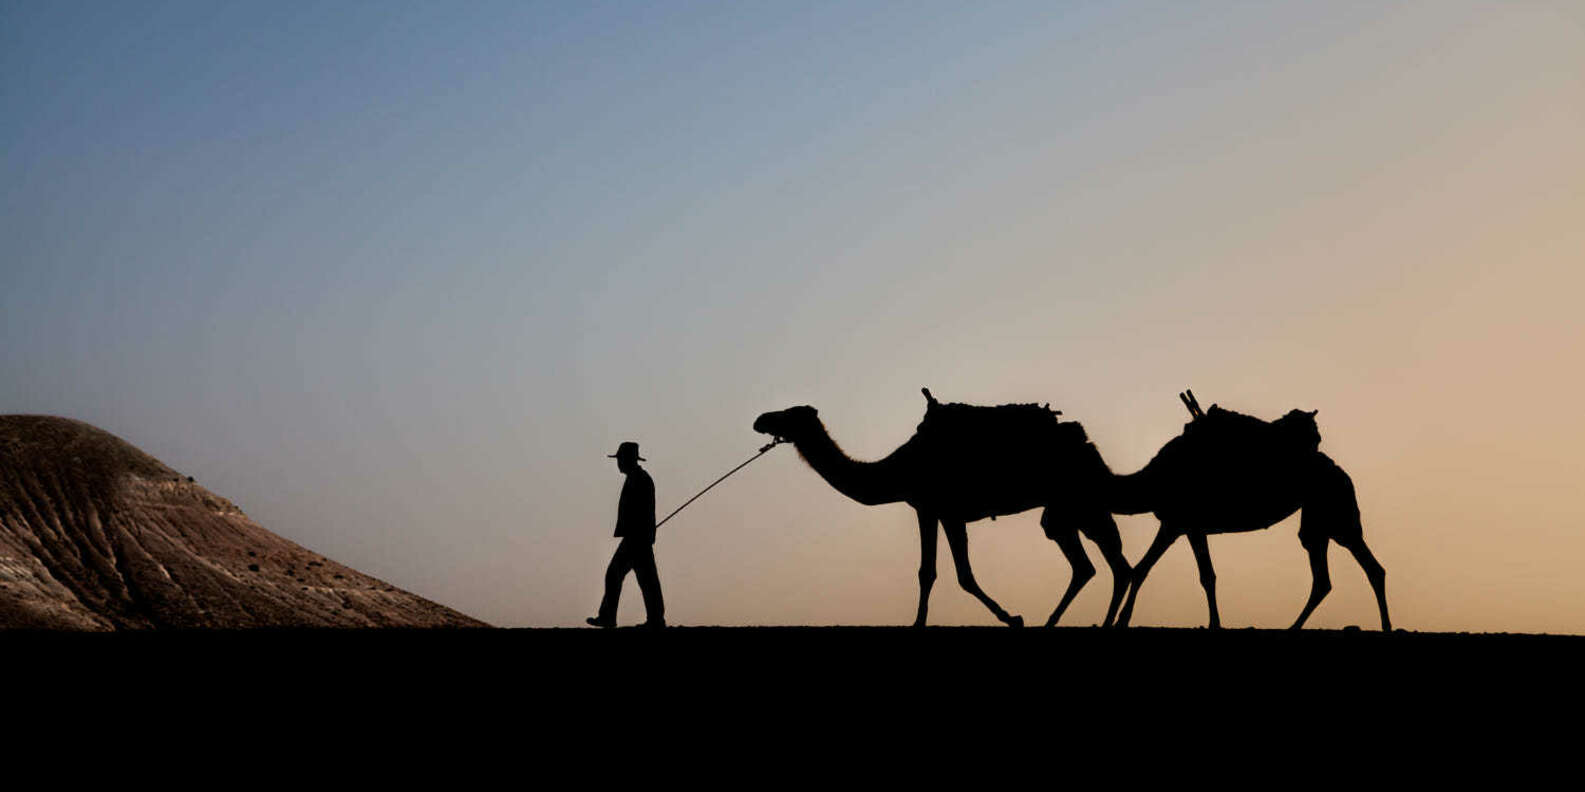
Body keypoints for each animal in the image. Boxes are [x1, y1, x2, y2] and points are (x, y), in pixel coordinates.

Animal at [751, 388, 1134, 624]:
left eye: (789, 414)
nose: (760, 419)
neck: (897, 469)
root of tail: (1087, 444)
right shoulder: (929, 509)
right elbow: (931, 571)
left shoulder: (943, 509)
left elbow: (957, 574)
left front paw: (1012, 618)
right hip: (1067, 508)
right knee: (1092, 564)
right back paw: (1061, 621)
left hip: (1078, 500)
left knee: (1113, 562)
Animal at [1109, 392, 1394, 633]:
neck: (1153, 480)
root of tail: (1343, 474)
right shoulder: (1190, 527)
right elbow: (1206, 575)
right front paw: (1214, 623)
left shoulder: (1175, 522)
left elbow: (1142, 568)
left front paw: (1122, 621)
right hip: (1321, 520)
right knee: (1337, 574)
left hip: (1334, 514)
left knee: (1360, 567)